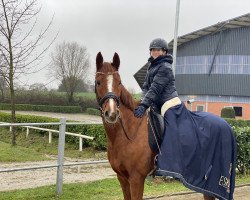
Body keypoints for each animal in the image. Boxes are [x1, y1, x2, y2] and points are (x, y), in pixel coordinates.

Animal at [94, 52, 215, 200]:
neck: (127, 134)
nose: (111, 113)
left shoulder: (136, 178)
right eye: (98, 82)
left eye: (119, 82)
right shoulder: (122, 178)